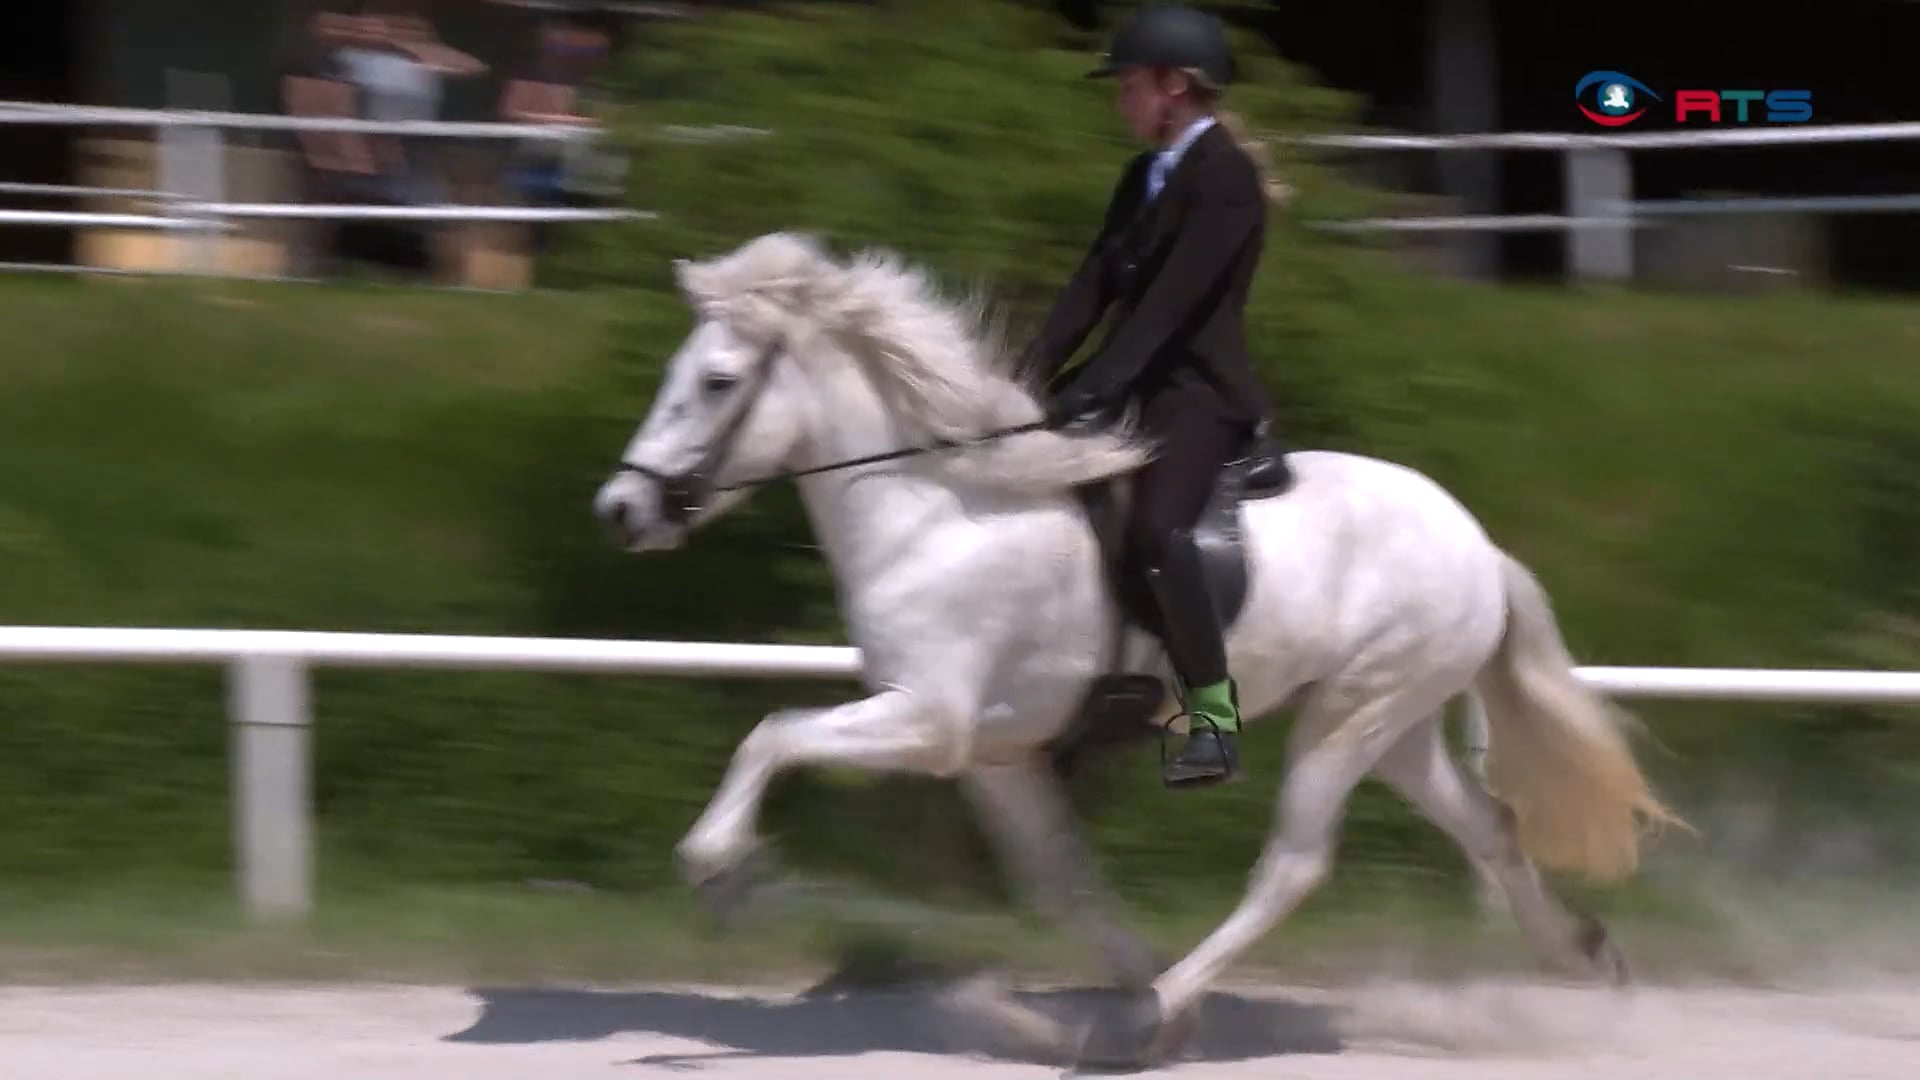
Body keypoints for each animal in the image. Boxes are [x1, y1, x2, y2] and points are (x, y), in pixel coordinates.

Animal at [587, 231, 1681, 1060]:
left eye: (717, 381)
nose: (622, 510)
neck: (938, 512)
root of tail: (1479, 545)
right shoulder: (994, 754)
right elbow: (1059, 880)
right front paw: (1103, 992)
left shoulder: (929, 722)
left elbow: (772, 733)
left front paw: (726, 873)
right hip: (1397, 722)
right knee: (1489, 829)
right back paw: (1585, 959)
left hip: (1352, 715)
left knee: (1292, 867)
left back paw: (1154, 1015)